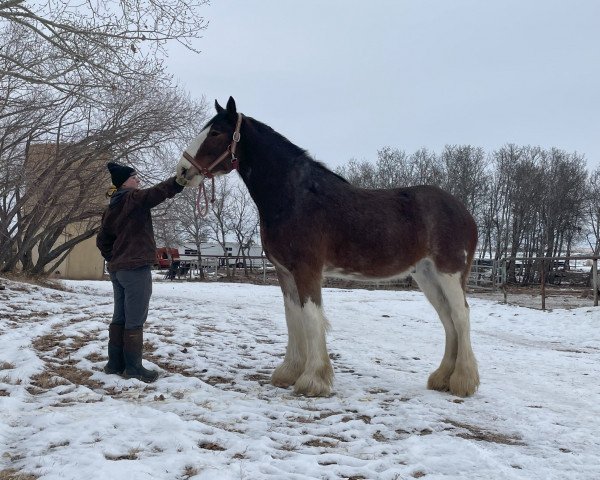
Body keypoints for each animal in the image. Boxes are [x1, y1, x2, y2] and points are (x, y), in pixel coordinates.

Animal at [176, 96, 480, 398]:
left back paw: (463, 382)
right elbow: (293, 318)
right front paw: (288, 372)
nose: (182, 171)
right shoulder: (285, 272)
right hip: (426, 275)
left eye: (215, 133)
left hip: (448, 273)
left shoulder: (307, 269)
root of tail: (464, 213)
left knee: (461, 316)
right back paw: (442, 379)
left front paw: (313, 380)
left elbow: (311, 318)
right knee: (448, 318)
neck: (295, 198)